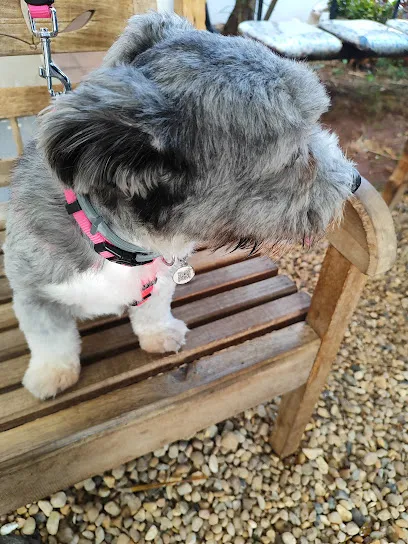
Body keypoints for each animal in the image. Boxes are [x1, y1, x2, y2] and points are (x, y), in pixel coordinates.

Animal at [3, 11, 360, 400]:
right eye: (296, 157)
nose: (355, 182)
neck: (110, 242)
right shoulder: (34, 295)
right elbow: (50, 338)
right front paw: (52, 372)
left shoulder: (158, 283)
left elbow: (152, 312)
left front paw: (158, 334)